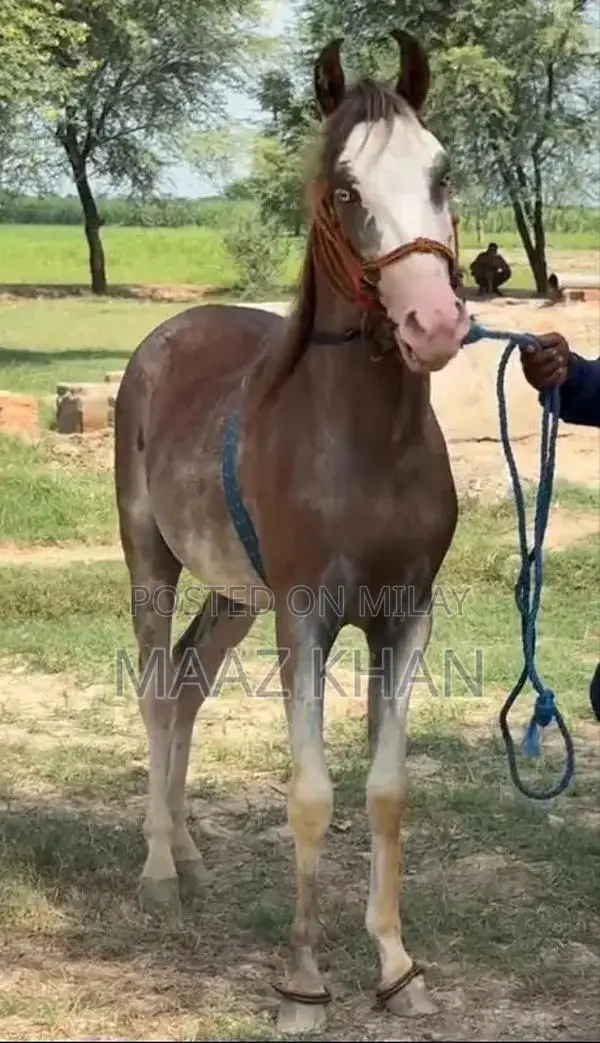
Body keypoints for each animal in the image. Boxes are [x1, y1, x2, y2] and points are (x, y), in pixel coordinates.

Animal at [114, 29, 470, 1033]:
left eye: (441, 171)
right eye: (345, 189)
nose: (434, 323)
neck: (361, 445)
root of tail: (163, 339)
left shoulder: (404, 616)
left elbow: (385, 791)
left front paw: (396, 966)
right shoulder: (303, 616)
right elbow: (310, 792)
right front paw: (304, 977)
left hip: (233, 595)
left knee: (189, 685)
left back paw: (191, 852)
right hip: (152, 563)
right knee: (155, 689)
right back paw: (160, 871)